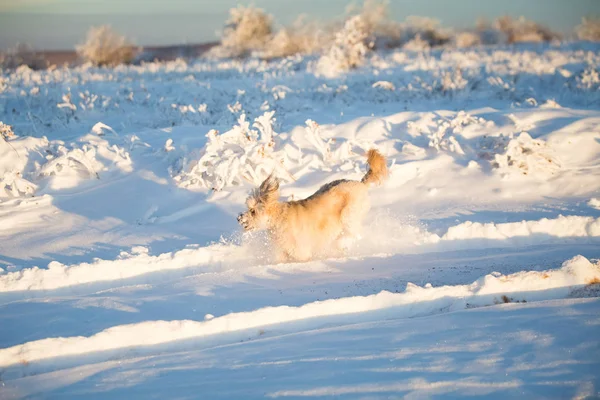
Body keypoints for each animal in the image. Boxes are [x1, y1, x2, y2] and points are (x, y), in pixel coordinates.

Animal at [237, 148, 386, 260]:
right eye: (248, 208)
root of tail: (361, 184)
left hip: (349, 216)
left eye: (253, 211)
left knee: (354, 233)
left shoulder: (300, 251)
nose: (239, 218)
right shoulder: (282, 251)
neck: (279, 219)